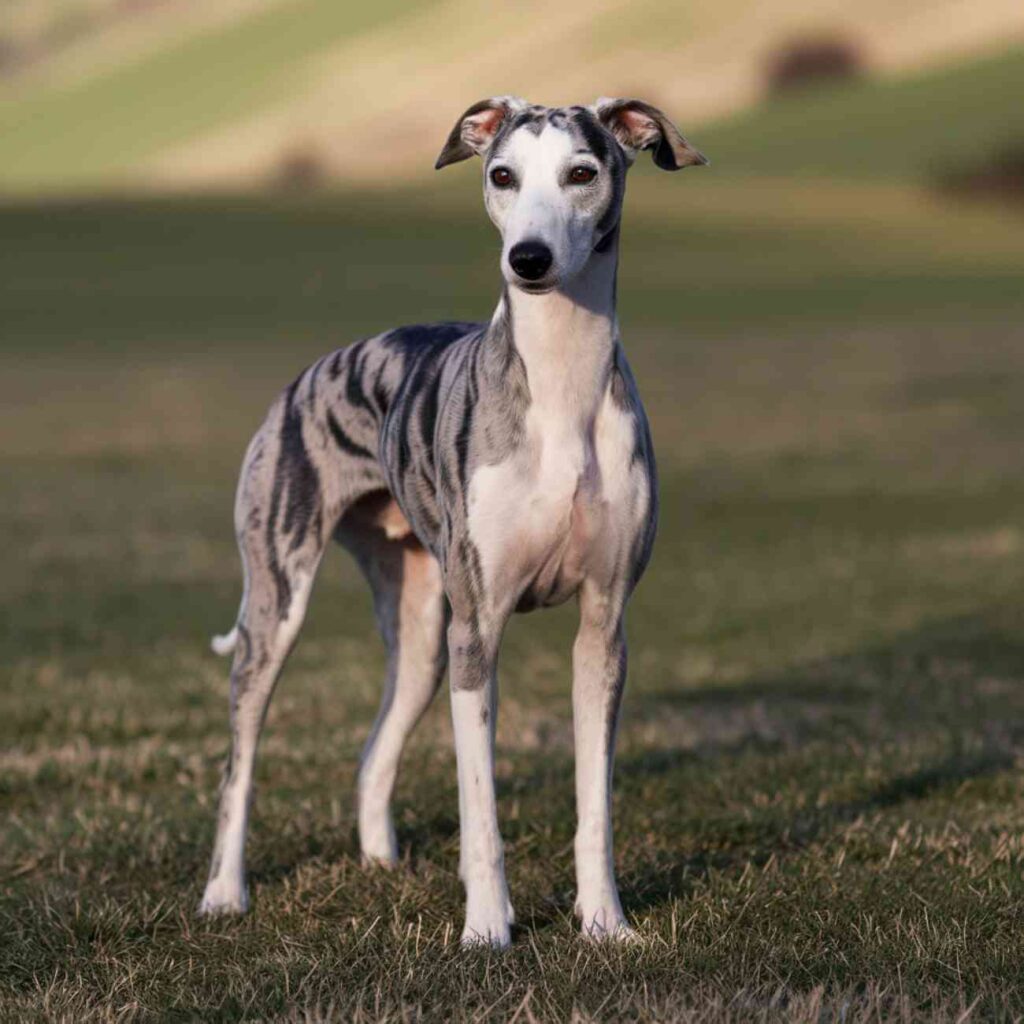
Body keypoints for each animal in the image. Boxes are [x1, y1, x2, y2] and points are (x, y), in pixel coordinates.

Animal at [198, 96, 704, 942]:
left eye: (582, 172)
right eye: (501, 175)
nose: (528, 260)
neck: (559, 386)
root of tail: (315, 369)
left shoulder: (604, 627)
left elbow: (594, 803)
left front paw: (605, 923)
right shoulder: (481, 631)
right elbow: (481, 807)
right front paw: (488, 928)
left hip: (420, 634)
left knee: (372, 752)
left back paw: (379, 861)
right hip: (278, 606)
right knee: (240, 758)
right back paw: (224, 893)